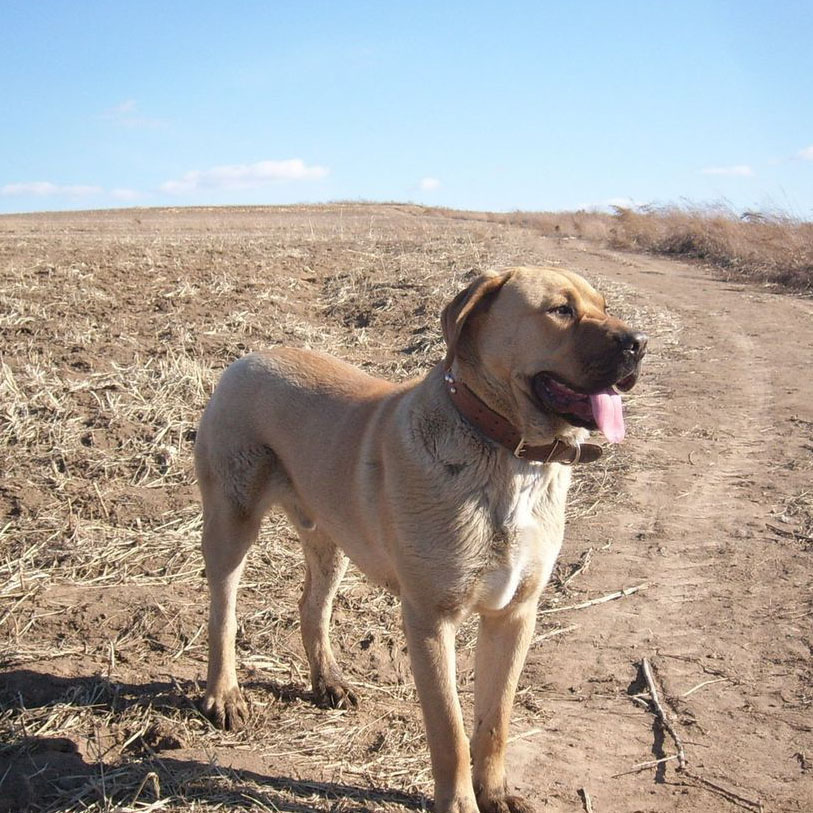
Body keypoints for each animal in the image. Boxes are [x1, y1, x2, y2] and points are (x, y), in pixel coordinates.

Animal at [193, 266, 644, 812]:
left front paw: (496, 793)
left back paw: (329, 681)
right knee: (223, 611)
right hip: (231, 522)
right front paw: (460, 803)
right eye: (561, 310)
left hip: (330, 538)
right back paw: (224, 694)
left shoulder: (515, 614)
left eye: (604, 305)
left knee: (312, 606)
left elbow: (495, 721)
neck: (505, 450)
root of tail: (248, 357)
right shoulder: (431, 618)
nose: (640, 344)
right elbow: (449, 730)